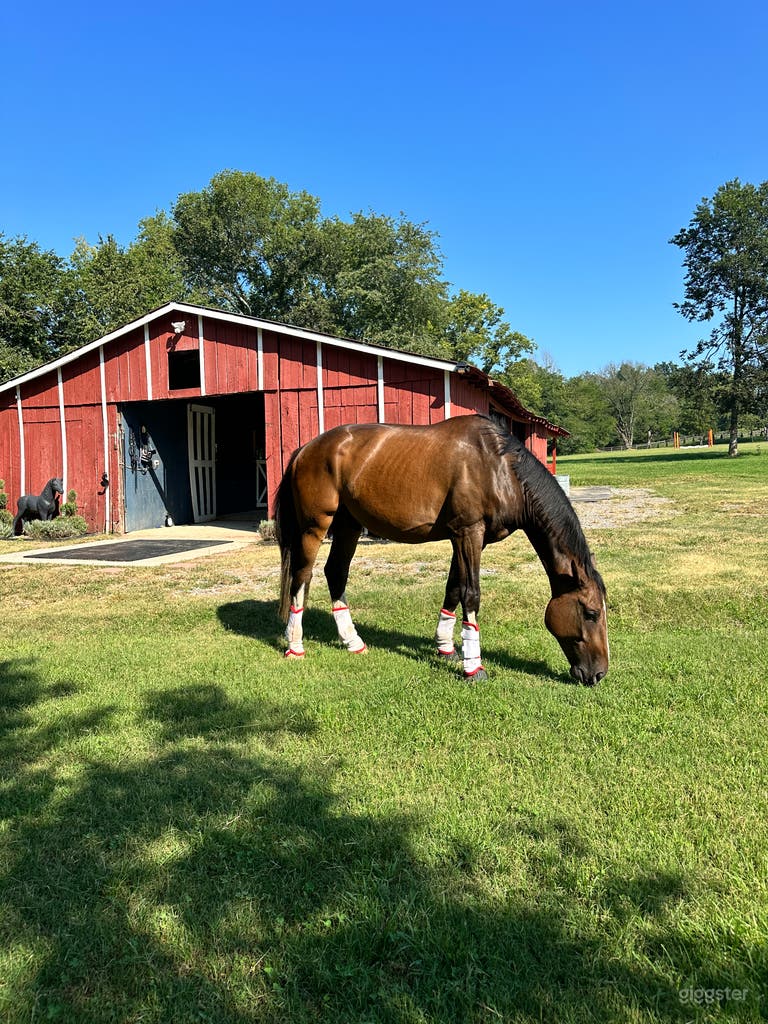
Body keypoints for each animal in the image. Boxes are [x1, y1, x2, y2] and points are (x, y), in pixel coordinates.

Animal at [274, 415, 609, 685]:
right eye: (591, 613)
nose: (599, 673)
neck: (499, 468)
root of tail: (305, 448)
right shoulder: (468, 533)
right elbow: (471, 594)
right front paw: (474, 667)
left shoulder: (466, 539)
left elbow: (454, 588)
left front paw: (446, 647)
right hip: (315, 526)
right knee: (302, 577)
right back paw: (295, 646)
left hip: (348, 525)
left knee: (336, 572)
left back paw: (352, 641)